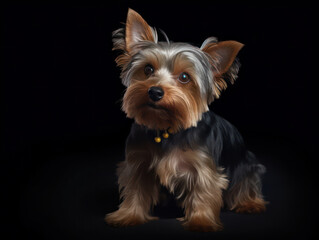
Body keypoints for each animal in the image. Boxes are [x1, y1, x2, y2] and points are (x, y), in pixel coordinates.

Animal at [105, 8, 268, 232]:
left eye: (184, 77)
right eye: (147, 69)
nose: (155, 91)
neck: (166, 129)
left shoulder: (204, 167)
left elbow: (203, 192)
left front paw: (201, 222)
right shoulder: (138, 162)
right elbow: (135, 190)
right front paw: (127, 215)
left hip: (247, 164)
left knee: (246, 183)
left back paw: (250, 204)